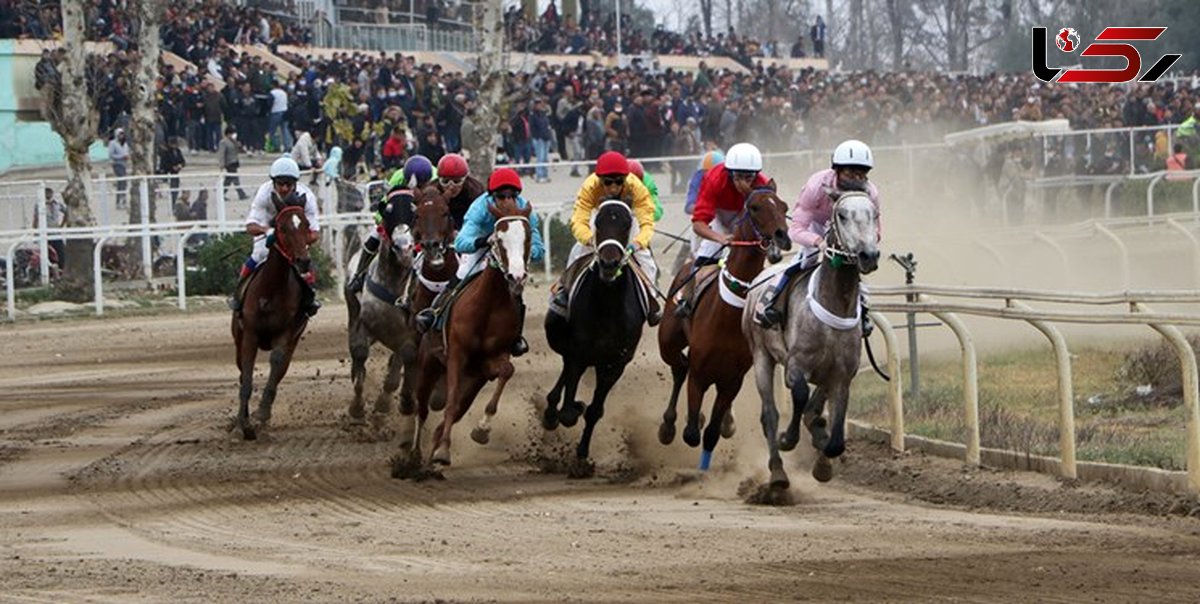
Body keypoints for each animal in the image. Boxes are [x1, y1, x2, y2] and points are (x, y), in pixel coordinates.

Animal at [230, 201, 314, 439]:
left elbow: (276, 365)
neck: (272, 290)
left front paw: (261, 415)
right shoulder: (249, 335)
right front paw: (243, 425)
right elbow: (246, 377)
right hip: (238, 337)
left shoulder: (286, 335)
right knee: (242, 372)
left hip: (294, 341)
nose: (303, 261)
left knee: (280, 371)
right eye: (282, 228)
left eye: (306, 224)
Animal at [345, 188, 420, 434]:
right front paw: (357, 410)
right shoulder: (364, 321)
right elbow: (359, 353)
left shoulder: (408, 334)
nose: (404, 249)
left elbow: (396, 372)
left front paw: (381, 407)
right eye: (388, 212)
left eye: (415, 212)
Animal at [398, 195, 535, 475]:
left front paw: (481, 430)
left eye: (527, 237)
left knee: (453, 413)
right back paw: (416, 455)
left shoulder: (492, 361)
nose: (516, 276)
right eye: (499, 238)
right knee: (423, 408)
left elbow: (506, 372)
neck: (489, 305)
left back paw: (434, 452)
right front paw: (443, 451)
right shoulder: (456, 356)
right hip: (429, 364)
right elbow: (448, 402)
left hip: (473, 382)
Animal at [657, 184, 787, 473]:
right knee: (678, 368)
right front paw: (687, 423)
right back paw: (667, 425)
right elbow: (691, 433)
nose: (782, 237)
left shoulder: (733, 379)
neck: (727, 314)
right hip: (667, 343)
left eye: (783, 206)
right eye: (755, 207)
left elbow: (710, 433)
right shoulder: (699, 374)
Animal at [739, 190, 883, 489]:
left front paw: (823, 461)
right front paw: (788, 438)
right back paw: (778, 473)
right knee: (769, 414)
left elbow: (834, 436)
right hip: (760, 355)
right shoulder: (796, 365)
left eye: (874, 214)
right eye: (842, 215)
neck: (835, 303)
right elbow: (800, 395)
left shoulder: (841, 375)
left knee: (812, 408)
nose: (868, 255)